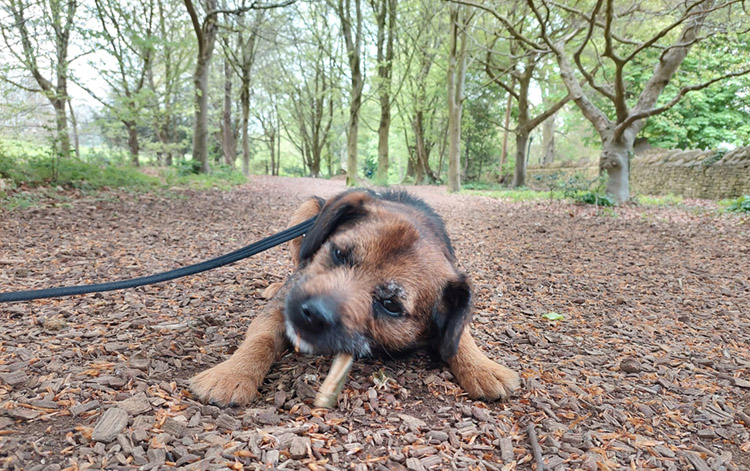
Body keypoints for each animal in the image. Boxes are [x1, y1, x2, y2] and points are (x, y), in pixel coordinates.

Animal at [192, 190, 524, 408]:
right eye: (339, 253)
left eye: (390, 305)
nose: (310, 313)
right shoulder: (283, 305)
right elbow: (260, 338)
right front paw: (231, 374)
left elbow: (460, 332)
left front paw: (483, 367)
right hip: (306, 210)